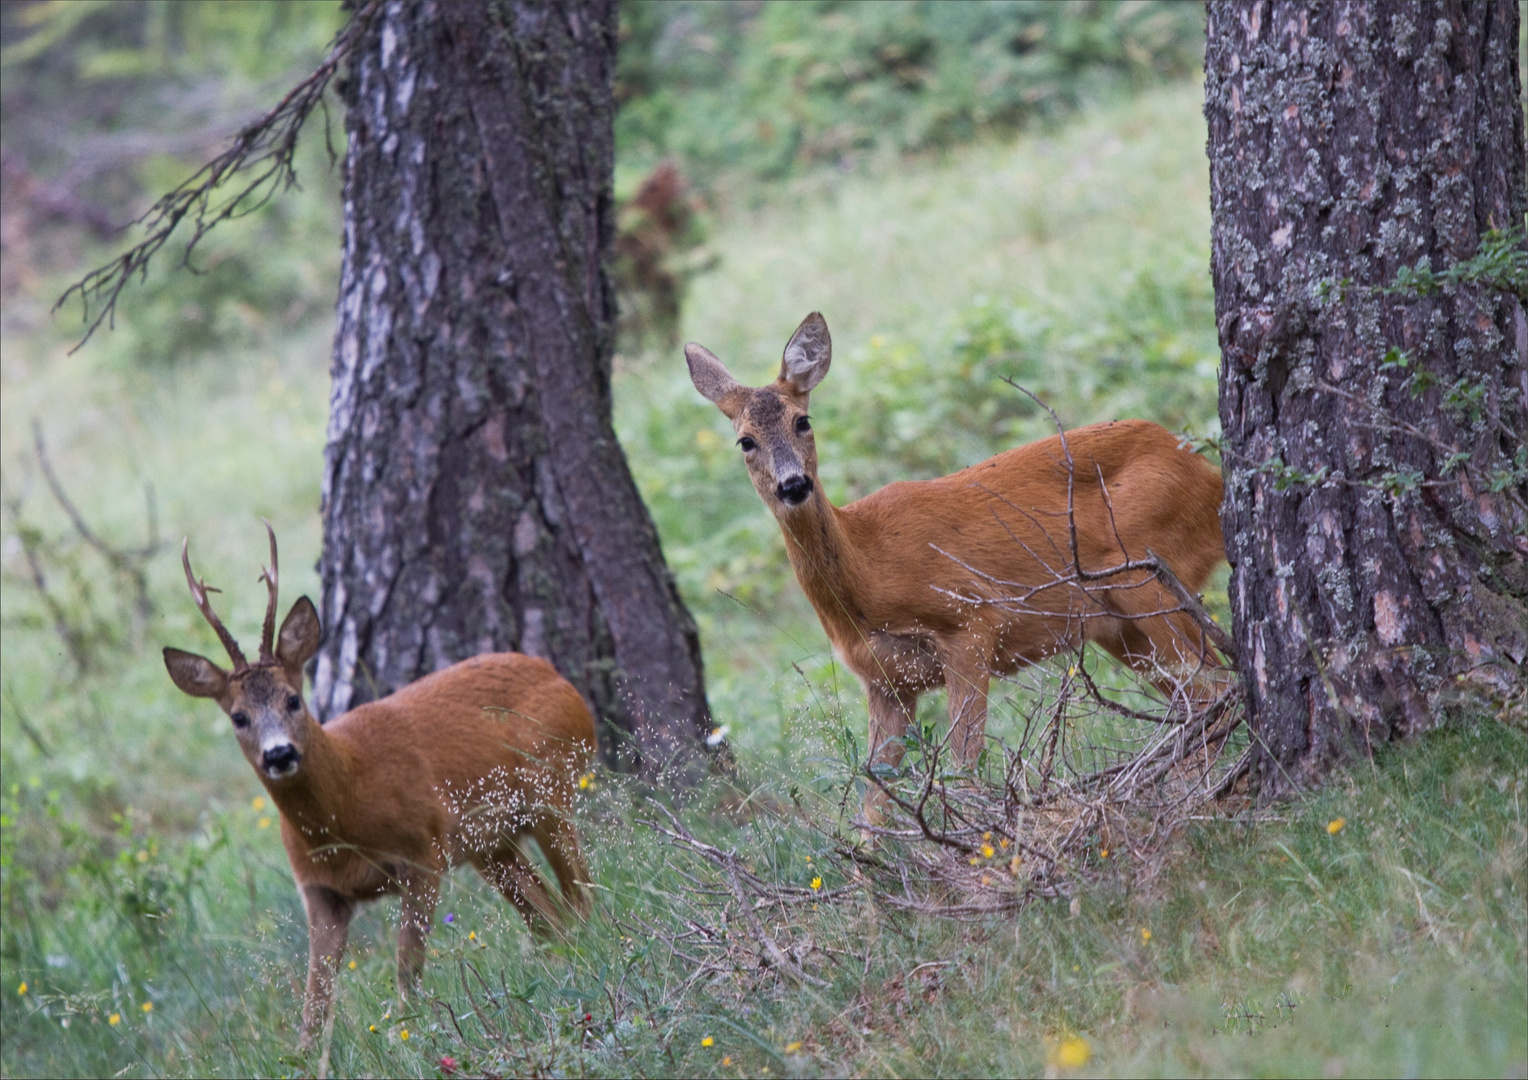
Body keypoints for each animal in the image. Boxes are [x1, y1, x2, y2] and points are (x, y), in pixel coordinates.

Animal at [164, 522, 592, 1044]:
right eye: (238, 717)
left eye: (292, 700)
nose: (280, 754)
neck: (347, 803)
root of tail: (557, 676)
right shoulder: (320, 892)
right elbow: (313, 1011)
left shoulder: (423, 849)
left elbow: (407, 971)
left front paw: (410, 1036)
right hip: (493, 844)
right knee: (551, 916)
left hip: (551, 786)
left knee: (582, 896)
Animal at [690, 310, 1228, 812]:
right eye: (745, 441)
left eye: (803, 421)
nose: (794, 485)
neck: (867, 576)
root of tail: (1211, 477)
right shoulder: (886, 683)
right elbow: (873, 803)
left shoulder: (970, 621)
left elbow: (963, 768)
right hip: (1119, 627)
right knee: (1200, 698)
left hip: (1146, 575)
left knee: (1215, 688)